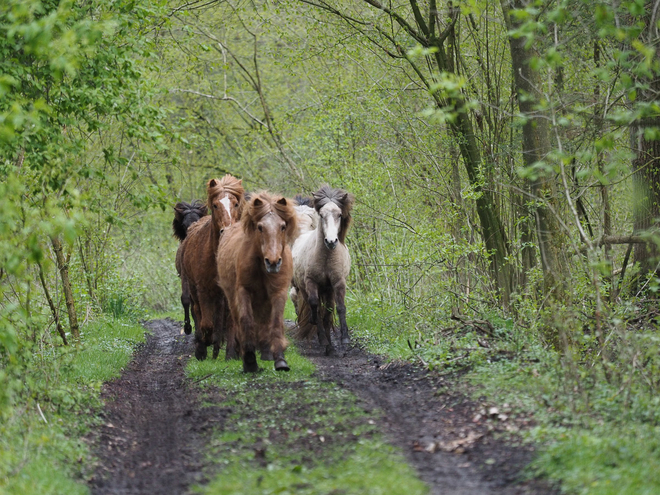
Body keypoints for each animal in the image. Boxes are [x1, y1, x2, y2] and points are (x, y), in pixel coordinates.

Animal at [178, 174, 245, 360]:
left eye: (235, 204)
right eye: (215, 205)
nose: (227, 230)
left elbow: (230, 322)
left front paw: (231, 352)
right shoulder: (203, 290)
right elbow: (206, 322)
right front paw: (205, 343)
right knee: (198, 311)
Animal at [215, 190, 298, 372]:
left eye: (282, 226)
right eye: (260, 227)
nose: (273, 262)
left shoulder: (279, 292)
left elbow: (275, 323)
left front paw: (280, 360)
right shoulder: (243, 291)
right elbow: (246, 322)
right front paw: (250, 361)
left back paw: (267, 353)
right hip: (233, 298)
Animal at [290, 187, 354, 356]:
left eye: (339, 215)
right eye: (321, 215)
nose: (331, 241)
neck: (326, 257)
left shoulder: (338, 283)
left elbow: (340, 308)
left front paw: (345, 339)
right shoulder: (311, 283)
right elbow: (315, 307)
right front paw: (321, 337)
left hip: (328, 290)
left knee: (328, 313)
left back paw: (330, 347)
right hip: (305, 288)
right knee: (314, 308)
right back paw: (324, 340)